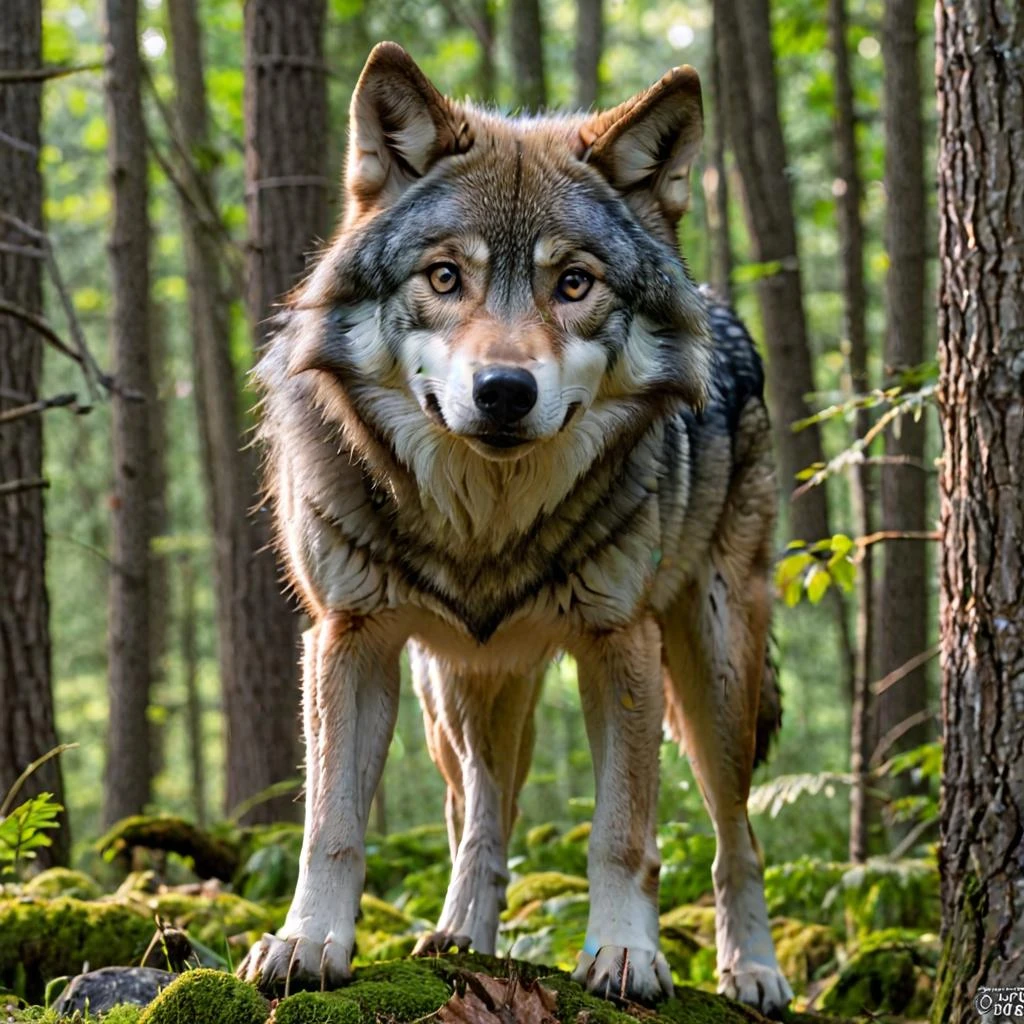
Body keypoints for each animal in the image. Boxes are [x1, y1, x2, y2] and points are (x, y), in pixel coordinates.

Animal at [238, 42, 794, 1014]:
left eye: (573, 283)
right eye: (444, 277)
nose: (503, 391)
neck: (485, 527)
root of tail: (718, 303)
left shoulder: (621, 645)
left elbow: (623, 834)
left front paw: (624, 954)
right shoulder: (349, 638)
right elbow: (331, 825)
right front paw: (308, 945)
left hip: (714, 676)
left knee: (739, 836)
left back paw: (753, 972)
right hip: (456, 695)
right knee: (482, 814)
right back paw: (462, 934)